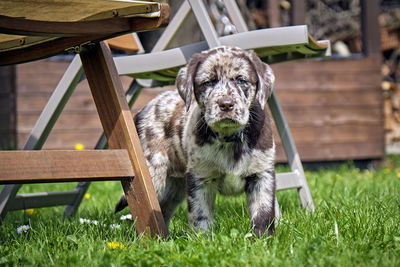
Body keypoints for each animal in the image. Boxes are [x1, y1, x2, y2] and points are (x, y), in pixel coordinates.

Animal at [116, 46, 276, 237]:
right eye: (208, 82)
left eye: (241, 80)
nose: (226, 104)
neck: (229, 137)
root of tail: (142, 110)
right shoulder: (200, 179)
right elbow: (201, 217)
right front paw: (203, 240)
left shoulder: (262, 175)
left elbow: (263, 214)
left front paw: (263, 240)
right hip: (152, 174)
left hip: (174, 187)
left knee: (163, 210)